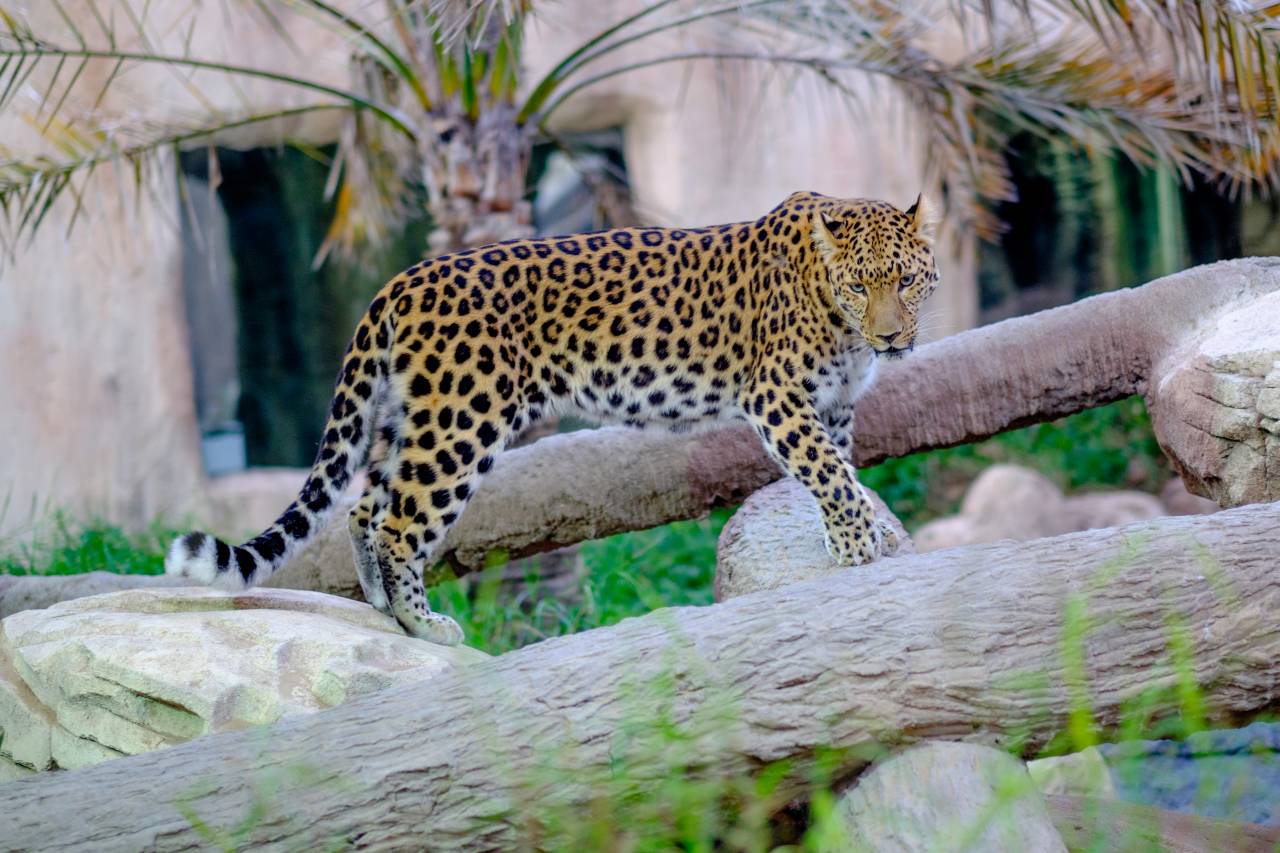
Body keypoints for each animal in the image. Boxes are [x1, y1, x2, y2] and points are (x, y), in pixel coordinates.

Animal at [165, 190, 942, 645]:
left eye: (907, 279)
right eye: (859, 284)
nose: (892, 339)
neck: (839, 320)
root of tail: (402, 280)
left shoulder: (833, 404)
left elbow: (837, 472)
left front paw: (852, 539)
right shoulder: (778, 396)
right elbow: (830, 474)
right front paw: (856, 548)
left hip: (407, 418)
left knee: (362, 508)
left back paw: (385, 611)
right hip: (461, 422)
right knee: (398, 524)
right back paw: (426, 623)